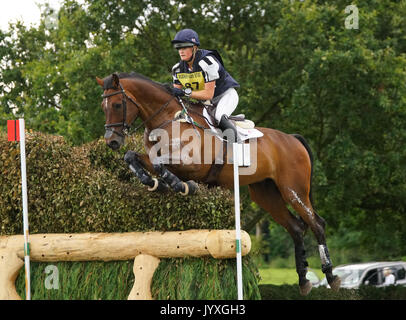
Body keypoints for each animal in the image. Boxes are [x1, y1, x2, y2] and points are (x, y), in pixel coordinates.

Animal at [95, 72, 340, 296]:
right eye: (103, 106)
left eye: (117, 104)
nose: (112, 141)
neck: (168, 118)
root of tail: (292, 138)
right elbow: (133, 157)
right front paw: (154, 183)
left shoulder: (192, 164)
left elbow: (159, 163)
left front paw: (182, 186)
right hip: (266, 194)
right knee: (296, 228)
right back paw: (304, 281)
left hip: (293, 189)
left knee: (317, 224)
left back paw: (331, 276)